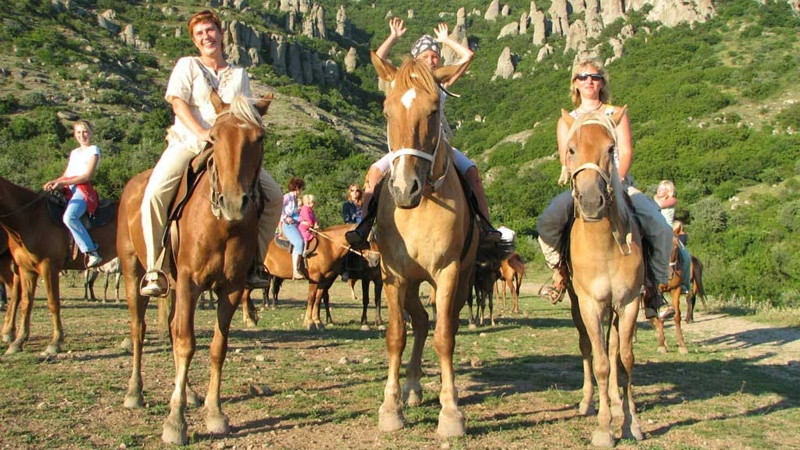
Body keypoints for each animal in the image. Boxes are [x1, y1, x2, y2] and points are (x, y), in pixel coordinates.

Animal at [0, 176, 118, 354]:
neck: (29, 219)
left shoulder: (49, 267)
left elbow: (53, 302)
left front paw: (55, 342)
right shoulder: (26, 269)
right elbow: (26, 303)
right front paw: (18, 341)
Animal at [117, 92, 273, 445]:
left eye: (259, 138)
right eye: (213, 137)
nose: (233, 203)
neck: (222, 225)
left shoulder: (231, 287)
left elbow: (216, 347)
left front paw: (215, 414)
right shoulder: (190, 283)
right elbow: (187, 343)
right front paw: (175, 423)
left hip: (174, 286)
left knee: (173, 328)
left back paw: (187, 393)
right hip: (134, 273)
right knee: (139, 329)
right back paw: (134, 392)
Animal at [371, 54, 478, 437]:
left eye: (434, 111)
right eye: (387, 111)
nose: (405, 189)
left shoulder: (447, 273)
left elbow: (444, 337)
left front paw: (451, 413)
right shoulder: (393, 275)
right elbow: (396, 335)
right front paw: (390, 408)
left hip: (459, 280)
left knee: (445, 324)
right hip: (412, 283)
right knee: (417, 322)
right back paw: (413, 387)